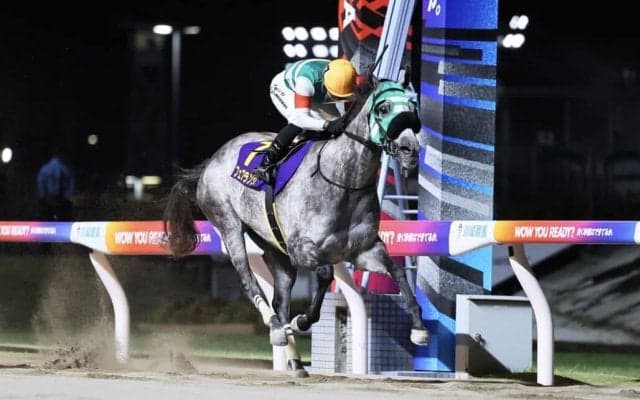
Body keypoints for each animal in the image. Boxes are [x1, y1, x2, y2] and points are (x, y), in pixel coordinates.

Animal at [162, 76, 428, 376]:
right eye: (383, 108)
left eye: (412, 106)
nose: (410, 150)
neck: (344, 182)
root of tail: (211, 162)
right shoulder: (303, 248)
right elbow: (324, 274)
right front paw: (302, 320)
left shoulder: (364, 250)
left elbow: (398, 271)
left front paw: (419, 329)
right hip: (228, 226)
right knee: (247, 280)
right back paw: (278, 329)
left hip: (275, 247)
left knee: (280, 299)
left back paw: (295, 360)